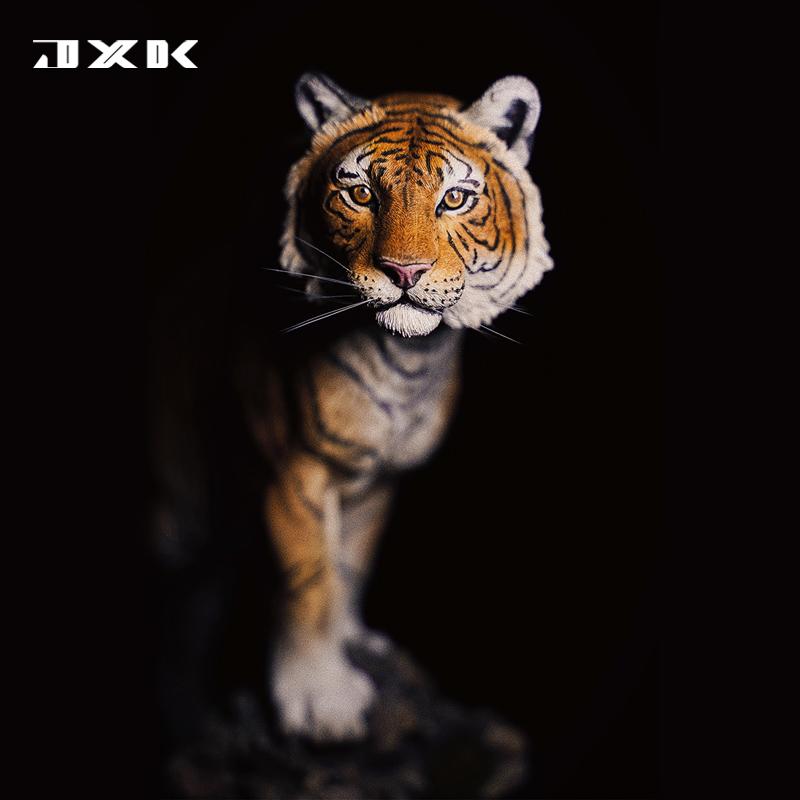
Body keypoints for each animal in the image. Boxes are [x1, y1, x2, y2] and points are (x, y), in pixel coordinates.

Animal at [247, 72, 553, 742]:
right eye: (360, 193)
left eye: (456, 199)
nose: (403, 271)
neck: (407, 365)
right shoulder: (293, 473)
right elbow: (310, 577)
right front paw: (320, 697)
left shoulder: (380, 477)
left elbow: (349, 561)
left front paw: (351, 642)